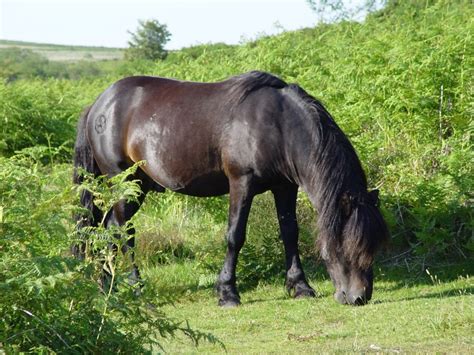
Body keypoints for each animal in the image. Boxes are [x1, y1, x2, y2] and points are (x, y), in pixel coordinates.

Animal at [72, 71, 386, 306]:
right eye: (346, 245)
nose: (359, 297)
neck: (277, 125)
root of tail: (98, 105)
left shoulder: (284, 187)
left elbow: (290, 233)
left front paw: (300, 286)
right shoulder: (241, 183)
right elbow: (235, 236)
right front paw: (227, 293)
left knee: (105, 229)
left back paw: (107, 286)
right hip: (125, 184)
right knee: (122, 231)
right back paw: (137, 288)